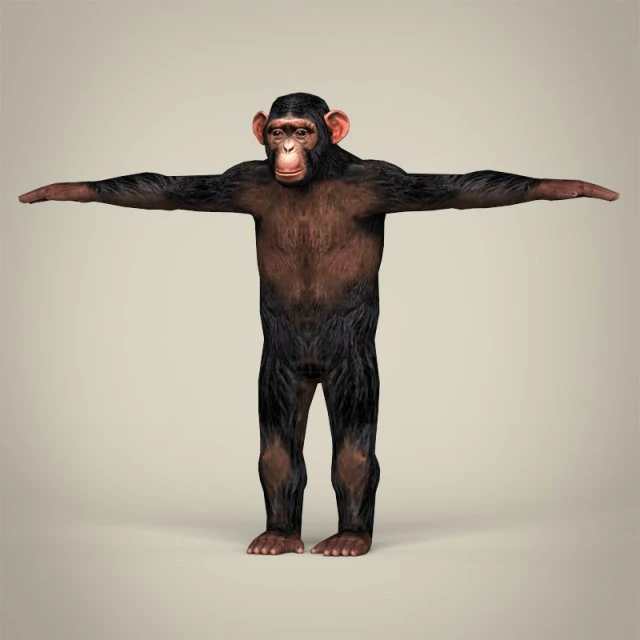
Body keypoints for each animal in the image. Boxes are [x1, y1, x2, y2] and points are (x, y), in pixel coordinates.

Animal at [18, 92, 619, 557]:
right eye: (278, 131)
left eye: (303, 131)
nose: (286, 148)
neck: (317, 175)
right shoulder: (235, 182)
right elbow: (166, 187)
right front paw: (62, 189)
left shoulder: (388, 181)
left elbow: (463, 186)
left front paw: (569, 186)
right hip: (282, 371)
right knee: (278, 449)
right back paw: (281, 534)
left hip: (351, 368)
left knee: (353, 449)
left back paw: (351, 537)